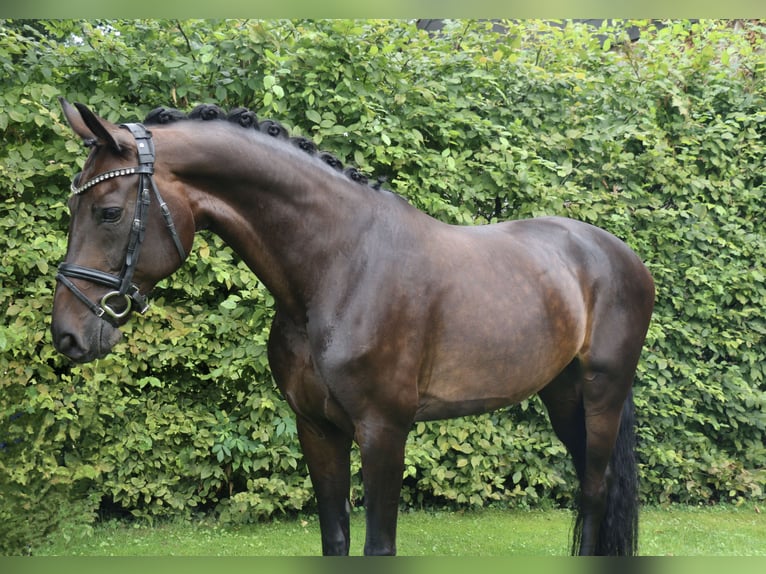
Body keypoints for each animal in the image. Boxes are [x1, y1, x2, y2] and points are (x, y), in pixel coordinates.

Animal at [51, 99, 656, 560]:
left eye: (108, 212)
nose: (68, 335)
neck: (340, 269)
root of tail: (618, 254)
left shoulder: (384, 431)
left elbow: (377, 546)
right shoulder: (317, 429)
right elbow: (336, 540)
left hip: (602, 393)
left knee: (597, 490)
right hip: (563, 395)